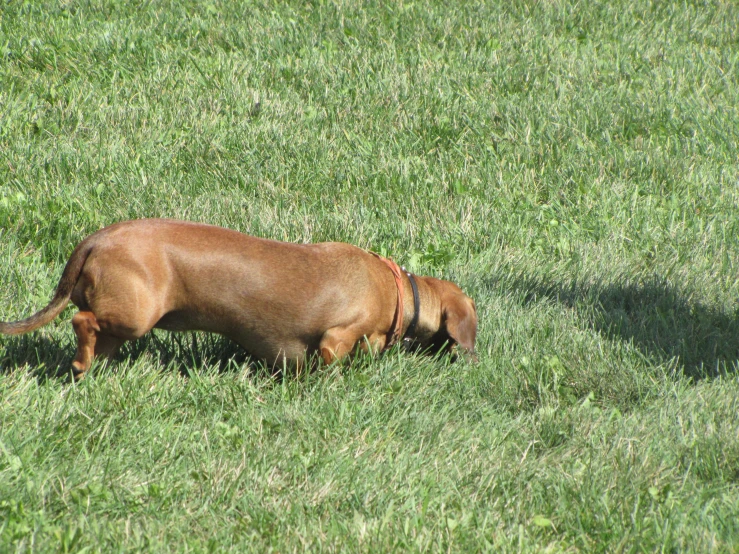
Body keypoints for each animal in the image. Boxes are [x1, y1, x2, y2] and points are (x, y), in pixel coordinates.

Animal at [0, 218, 480, 378]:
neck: (396, 290)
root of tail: (96, 239)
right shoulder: (335, 339)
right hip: (134, 317)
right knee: (82, 321)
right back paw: (82, 362)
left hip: (123, 324)